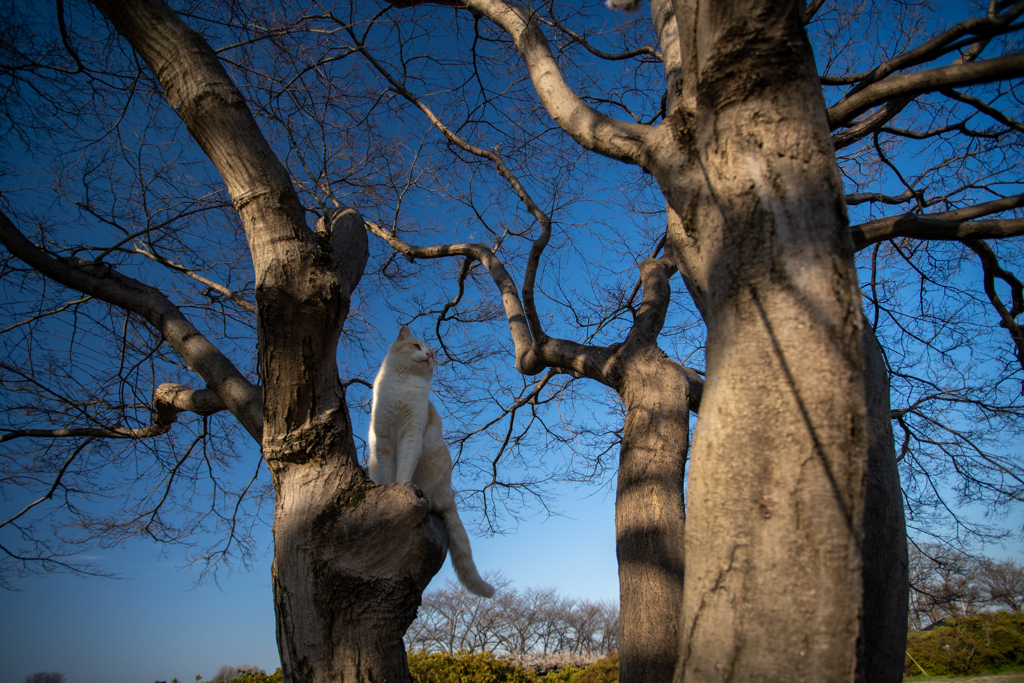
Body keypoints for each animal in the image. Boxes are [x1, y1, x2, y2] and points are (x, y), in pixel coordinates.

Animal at [368, 325, 495, 598]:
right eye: (416, 347)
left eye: (433, 354)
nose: (428, 355)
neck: (403, 385)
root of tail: (450, 494)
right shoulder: (382, 439)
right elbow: (387, 472)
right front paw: (387, 488)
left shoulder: (411, 435)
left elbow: (404, 468)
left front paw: (400, 486)